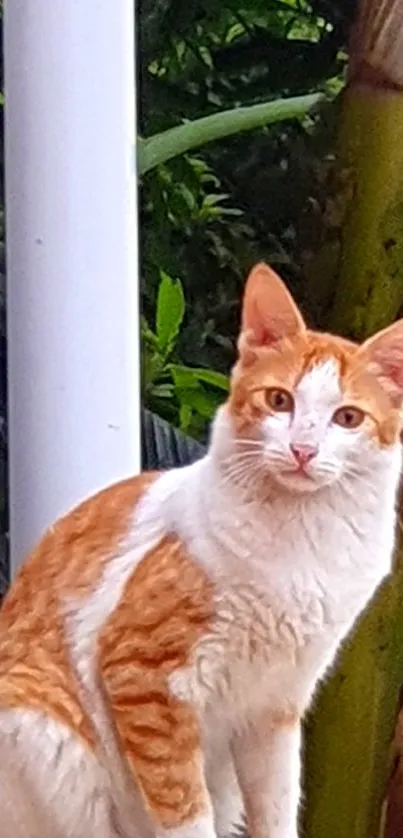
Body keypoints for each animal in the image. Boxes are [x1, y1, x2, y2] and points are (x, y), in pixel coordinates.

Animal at [0, 264, 403, 838]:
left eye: (347, 418)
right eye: (280, 401)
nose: (303, 450)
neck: (302, 544)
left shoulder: (274, 707)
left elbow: (278, 807)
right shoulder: (147, 682)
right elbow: (185, 810)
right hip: (49, 739)